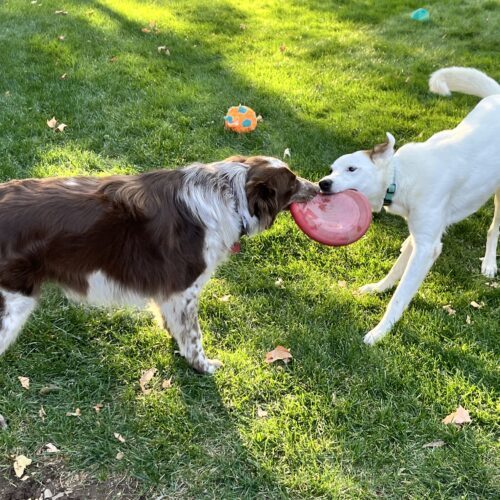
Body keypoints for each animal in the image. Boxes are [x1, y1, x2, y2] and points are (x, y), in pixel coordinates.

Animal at [0, 155, 318, 372]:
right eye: (292, 183)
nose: (318, 187)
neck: (228, 197)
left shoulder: (170, 293)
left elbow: (175, 325)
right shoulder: (185, 290)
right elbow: (194, 337)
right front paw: (203, 367)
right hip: (12, 304)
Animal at [318, 68, 498, 346]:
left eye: (351, 169)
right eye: (331, 170)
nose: (323, 183)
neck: (399, 177)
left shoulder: (426, 248)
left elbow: (400, 296)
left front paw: (380, 332)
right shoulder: (419, 237)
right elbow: (395, 271)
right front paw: (378, 288)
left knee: (493, 229)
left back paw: (489, 263)